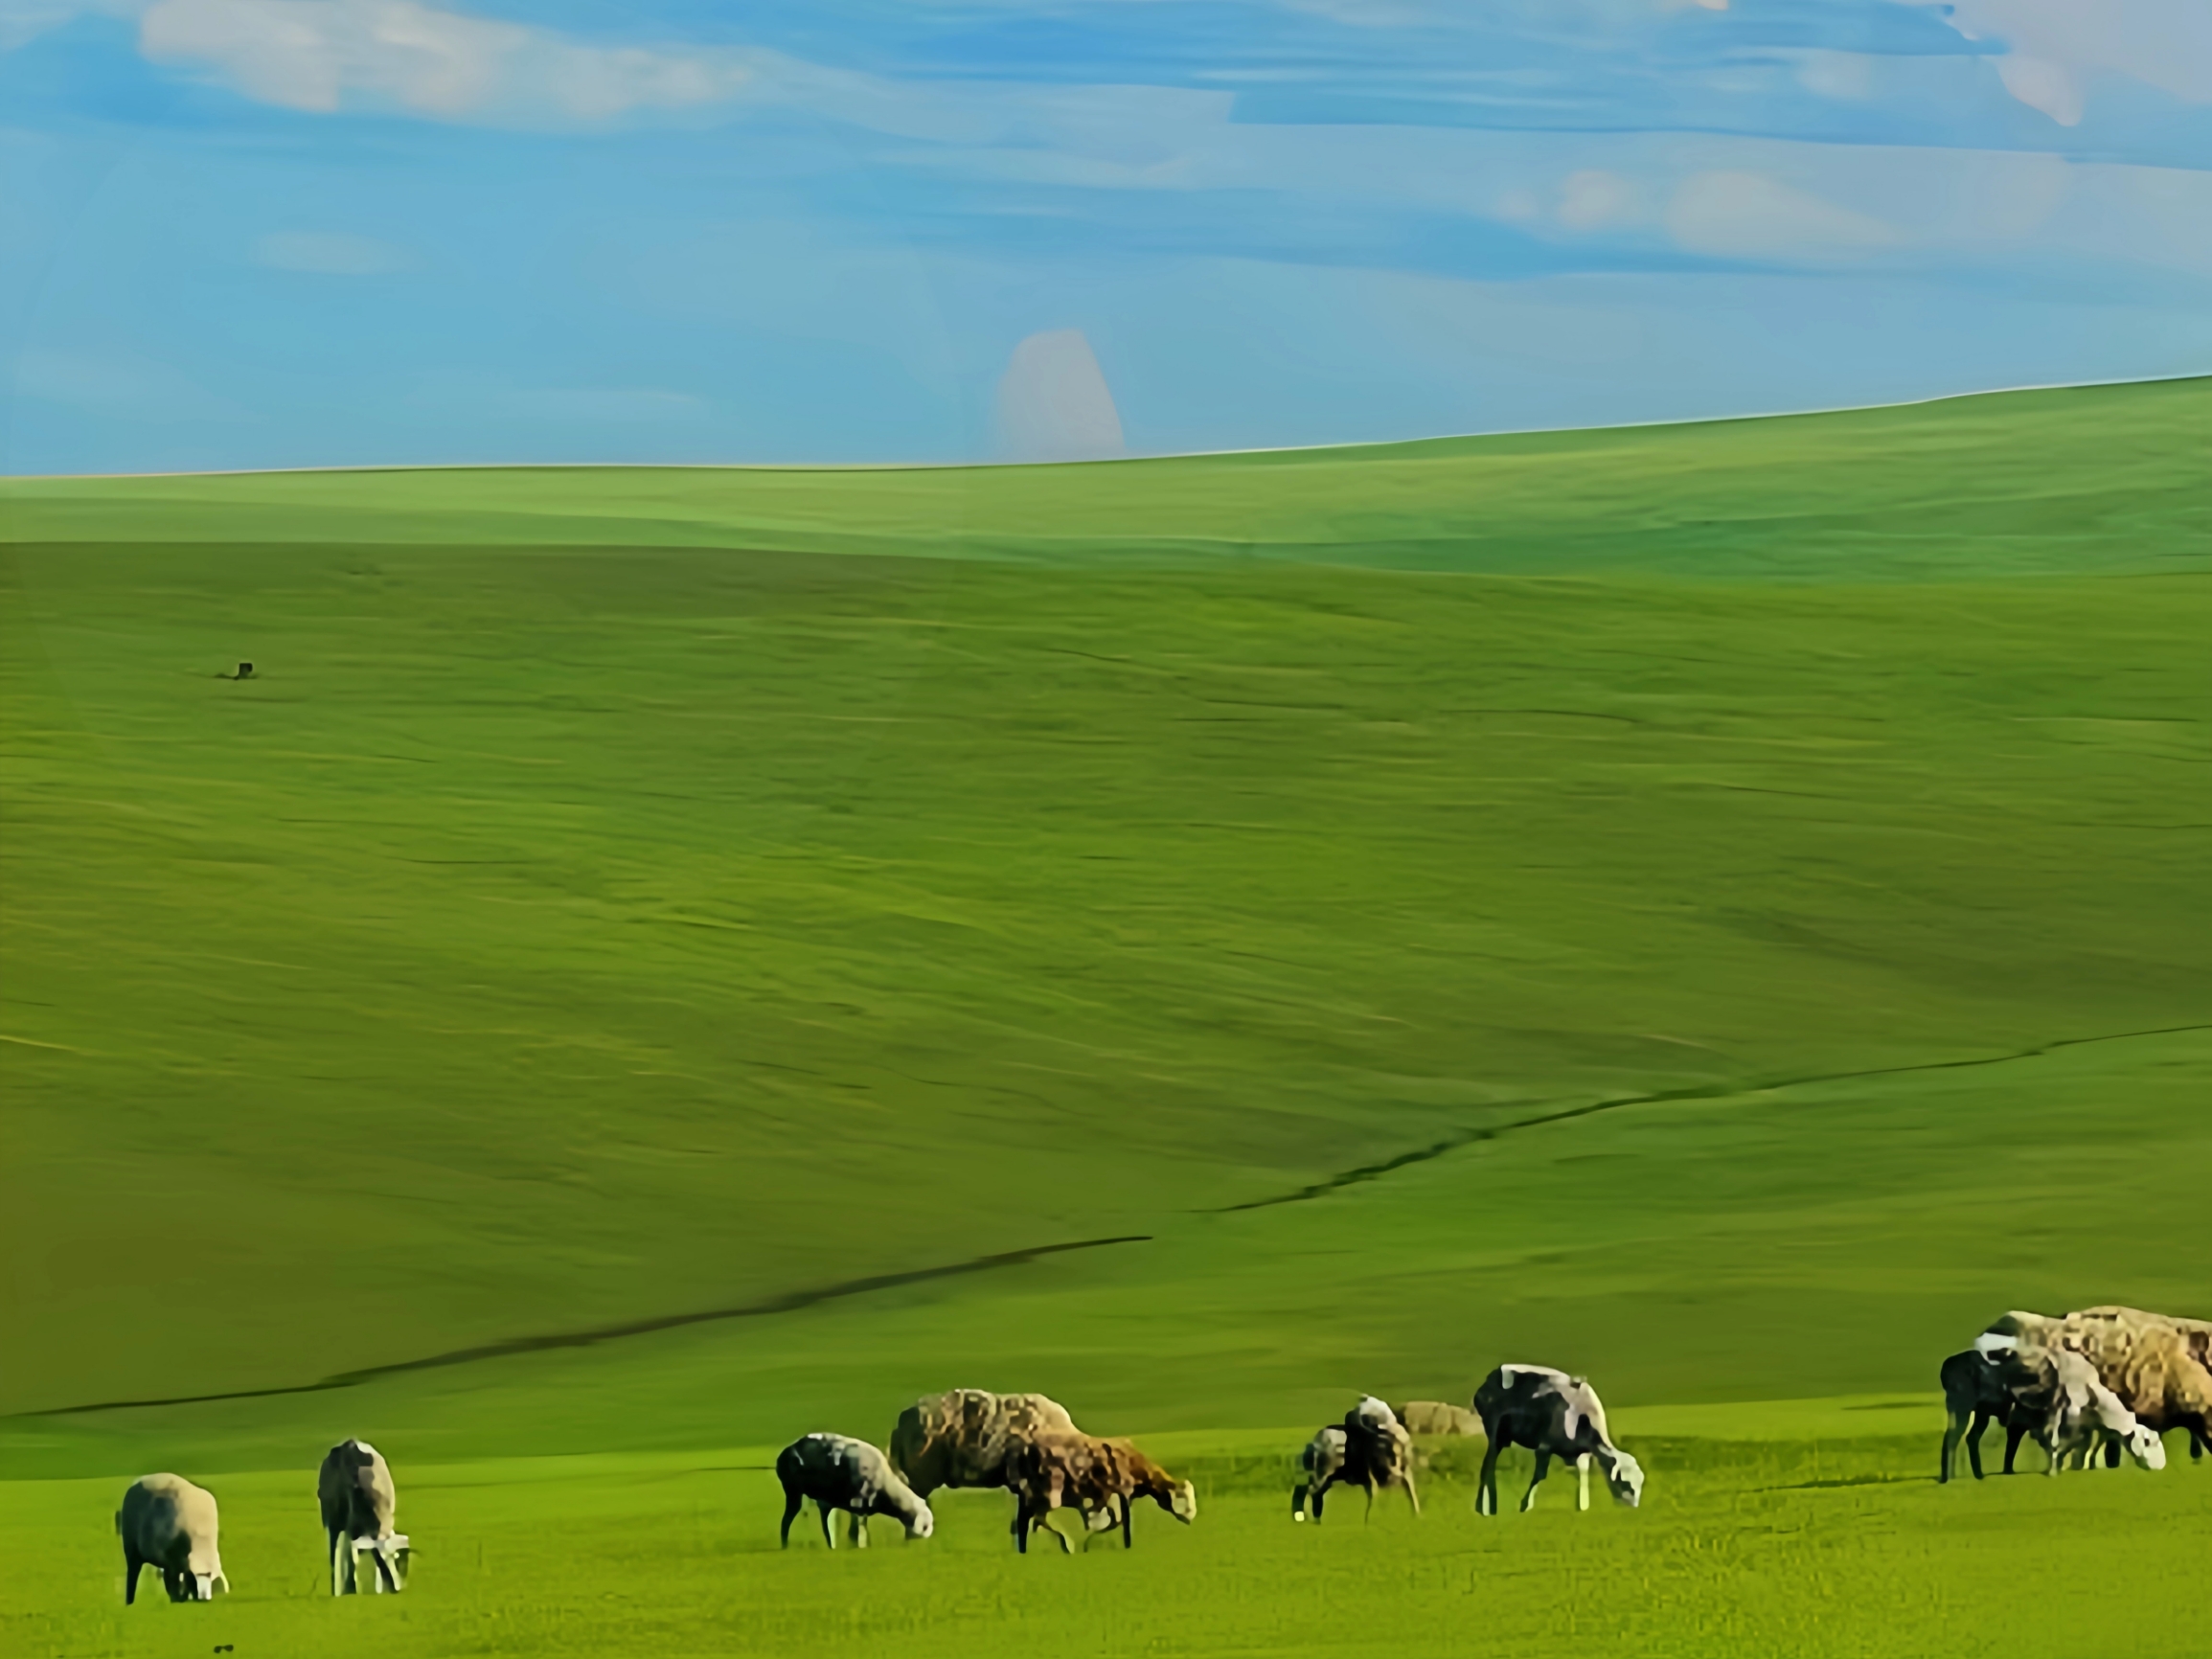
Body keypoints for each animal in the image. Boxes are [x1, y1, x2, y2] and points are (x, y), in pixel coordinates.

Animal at [117, 1477, 228, 1610]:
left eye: (210, 1576)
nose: (204, 1598)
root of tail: (140, 1480)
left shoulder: (180, 1563)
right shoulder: (174, 1561)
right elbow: (176, 1582)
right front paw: (178, 1600)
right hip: (132, 1549)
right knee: (133, 1574)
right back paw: (130, 1603)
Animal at [778, 1433, 933, 1557]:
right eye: (925, 1526)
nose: (923, 1543)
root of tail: (788, 1450)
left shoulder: (860, 1507)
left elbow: (859, 1528)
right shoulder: (857, 1503)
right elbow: (858, 1530)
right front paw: (860, 1546)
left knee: (825, 1524)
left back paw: (829, 1545)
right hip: (793, 1491)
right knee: (787, 1520)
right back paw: (785, 1545)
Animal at [1008, 1433, 1203, 1557]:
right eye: (1183, 1499)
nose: (1190, 1519)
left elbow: (1116, 1521)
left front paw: (1088, 1544)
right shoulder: (1123, 1493)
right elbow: (1123, 1522)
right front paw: (1123, 1545)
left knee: (1027, 1521)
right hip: (1044, 1496)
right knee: (1031, 1520)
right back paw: (1064, 1545)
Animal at [1469, 1362, 1645, 1521]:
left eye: (1640, 1483)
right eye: (1625, 1483)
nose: (1635, 1506)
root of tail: (1493, 1375)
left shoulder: (1582, 1454)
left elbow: (1583, 1476)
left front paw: (1583, 1508)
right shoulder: (1544, 1448)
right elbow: (1540, 1476)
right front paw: (1526, 1506)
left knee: (1488, 1466)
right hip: (1494, 1431)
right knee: (1489, 1466)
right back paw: (1487, 1509)